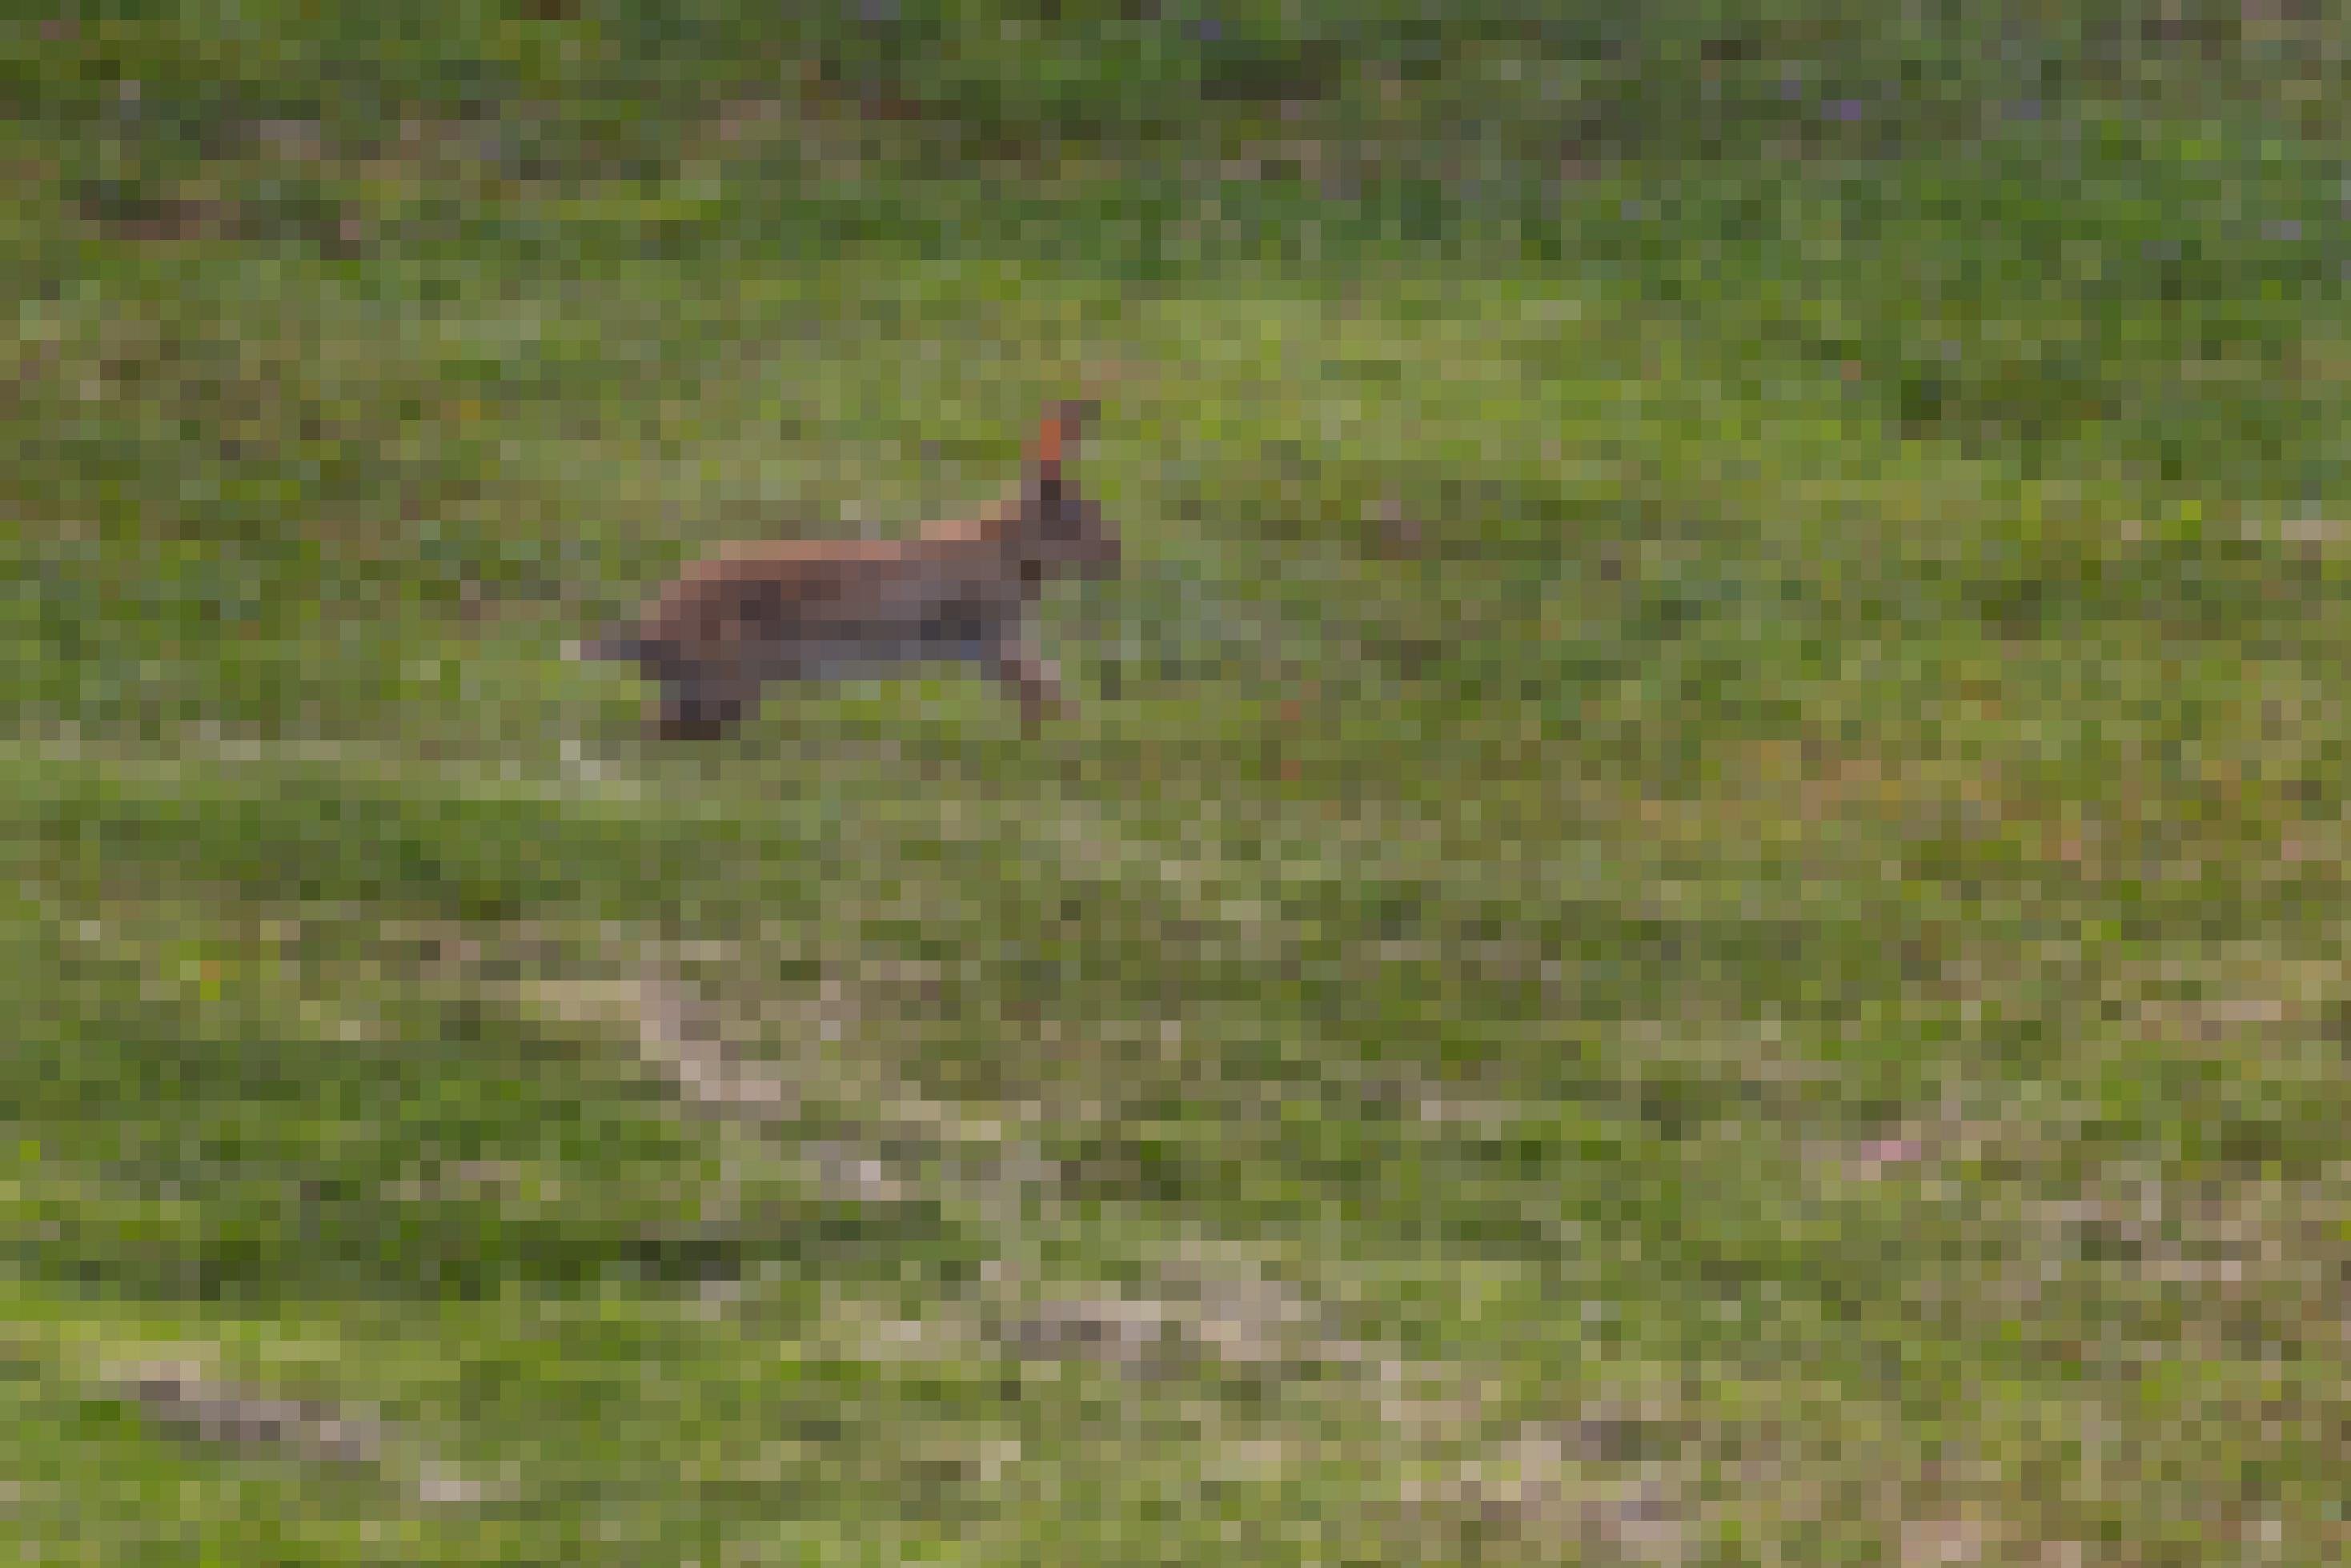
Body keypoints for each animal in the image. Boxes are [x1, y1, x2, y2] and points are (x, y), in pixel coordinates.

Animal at [573, 399, 1114, 743]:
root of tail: (645, 634)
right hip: (728, 675)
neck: (1008, 545)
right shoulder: (988, 637)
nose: (1115, 553)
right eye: (1079, 520)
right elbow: (1035, 684)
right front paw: (1074, 728)